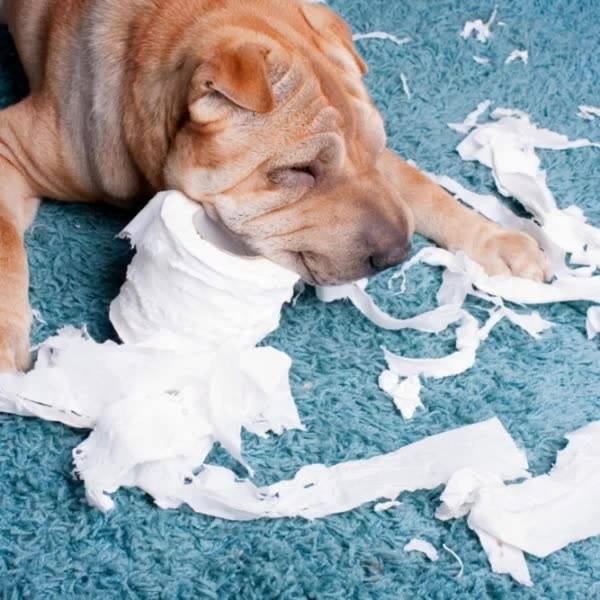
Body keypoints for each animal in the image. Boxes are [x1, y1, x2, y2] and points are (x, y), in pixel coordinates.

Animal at [0, 0, 548, 372]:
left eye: (377, 146)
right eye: (301, 171)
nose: (398, 253)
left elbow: (419, 186)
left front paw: (499, 242)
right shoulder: (10, 147)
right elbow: (7, 245)